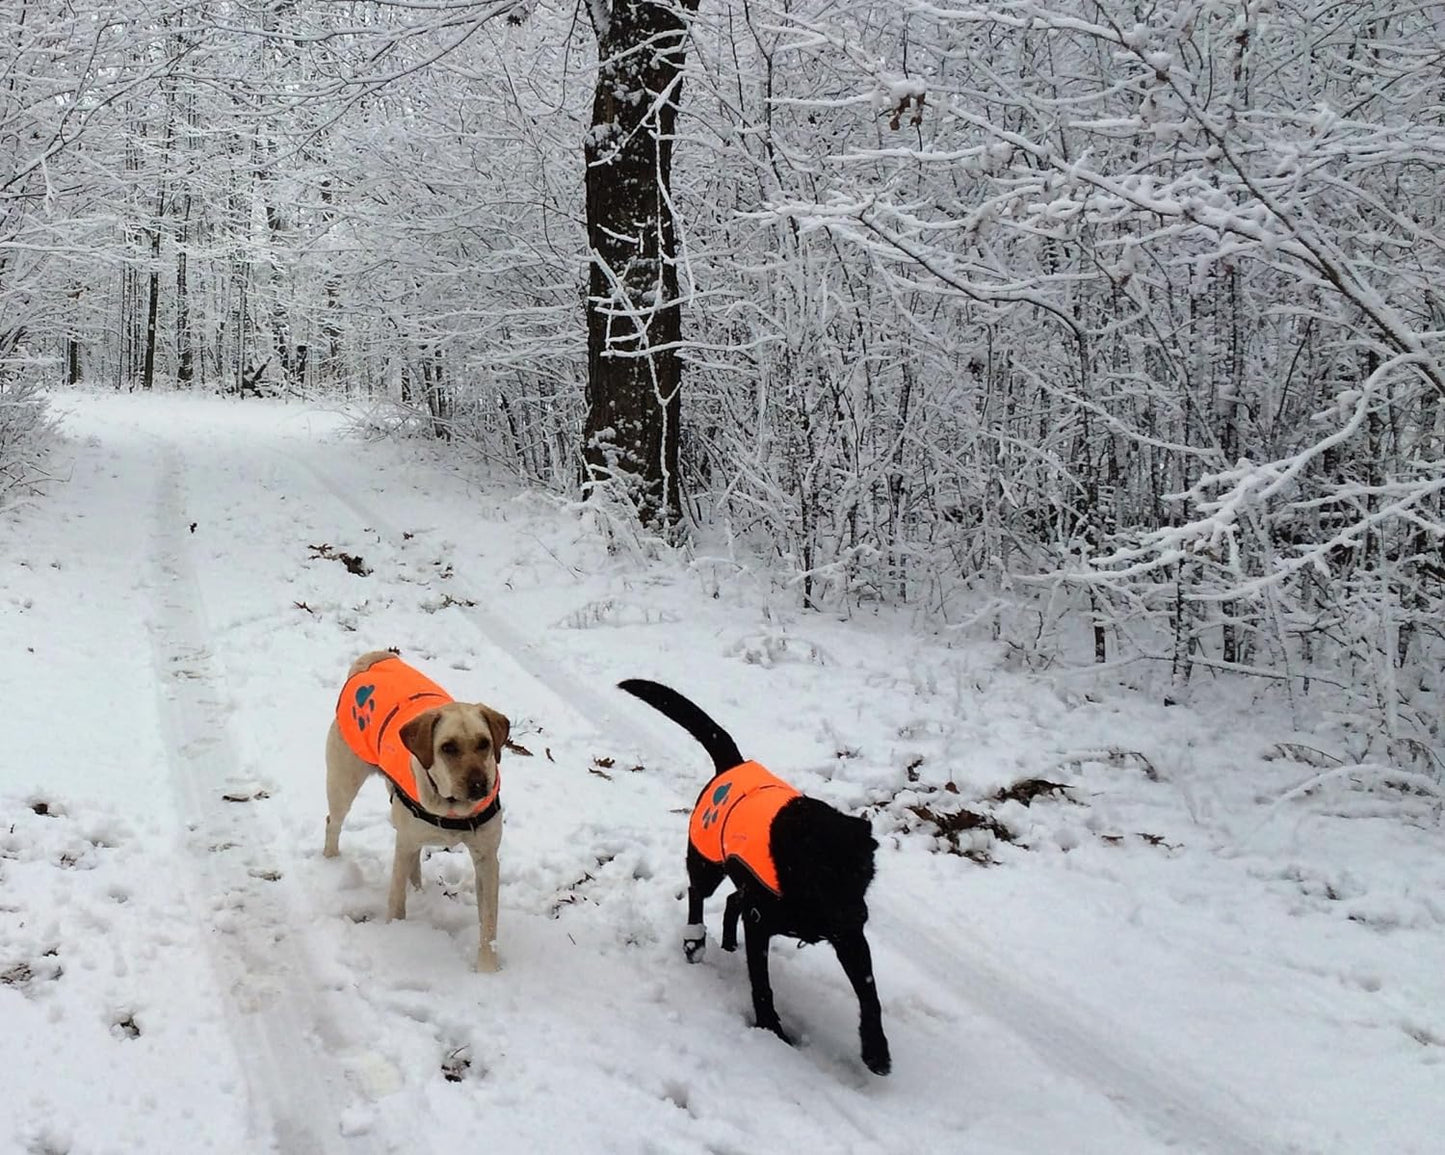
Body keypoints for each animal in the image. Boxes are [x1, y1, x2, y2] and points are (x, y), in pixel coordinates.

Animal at [325, 656, 511, 971]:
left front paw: (488, 969)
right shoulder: (403, 845)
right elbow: (396, 901)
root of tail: (373, 659)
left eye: (484, 743)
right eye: (448, 747)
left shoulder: (487, 857)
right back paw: (329, 863)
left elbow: (489, 923)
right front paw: (398, 934)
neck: (451, 807)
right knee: (333, 822)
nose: (478, 785)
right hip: (343, 782)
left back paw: (420, 891)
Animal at [615, 676, 884, 1075]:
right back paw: (695, 941)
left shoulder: (847, 937)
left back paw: (727, 943)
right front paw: (770, 1027)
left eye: (865, 874)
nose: (860, 915)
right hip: (707, 861)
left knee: (731, 900)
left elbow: (869, 993)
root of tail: (733, 764)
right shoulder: (762, 922)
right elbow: (762, 983)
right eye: (827, 875)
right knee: (698, 894)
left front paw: (876, 1049)